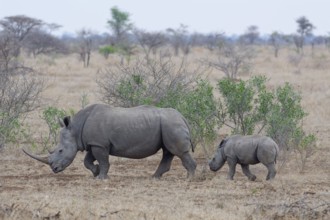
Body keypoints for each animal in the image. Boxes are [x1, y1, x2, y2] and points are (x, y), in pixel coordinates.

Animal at [23, 104, 196, 179]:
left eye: (60, 150)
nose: (54, 169)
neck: (75, 128)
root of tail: (183, 117)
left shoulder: (99, 144)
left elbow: (103, 160)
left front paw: (101, 177)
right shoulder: (94, 143)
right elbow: (87, 161)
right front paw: (96, 172)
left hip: (171, 124)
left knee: (179, 152)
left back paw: (190, 178)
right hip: (168, 125)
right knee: (168, 151)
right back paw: (155, 177)